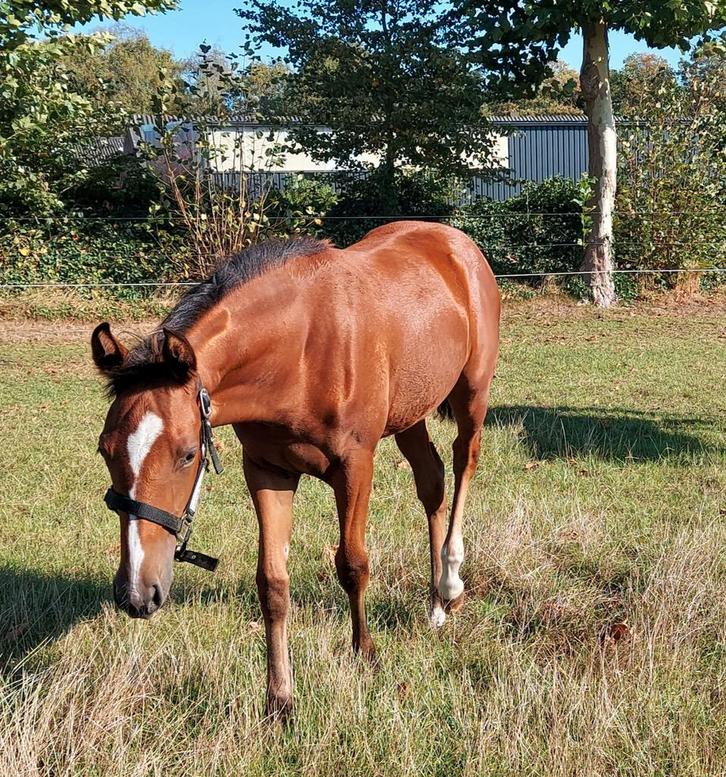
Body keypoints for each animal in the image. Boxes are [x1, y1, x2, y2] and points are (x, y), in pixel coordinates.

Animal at [91, 220, 500, 716]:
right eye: (105, 450)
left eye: (188, 454)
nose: (137, 594)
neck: (300, 353)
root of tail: (456, 243)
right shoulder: (267, 472)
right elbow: (272, 584)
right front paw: (280, 697)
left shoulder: (355, 467)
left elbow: (352, 565)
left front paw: (365, 652)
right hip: (411, 414)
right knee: (432, 482)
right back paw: (437, 603)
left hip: (471, 396)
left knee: (463, 464)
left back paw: (452, 582)